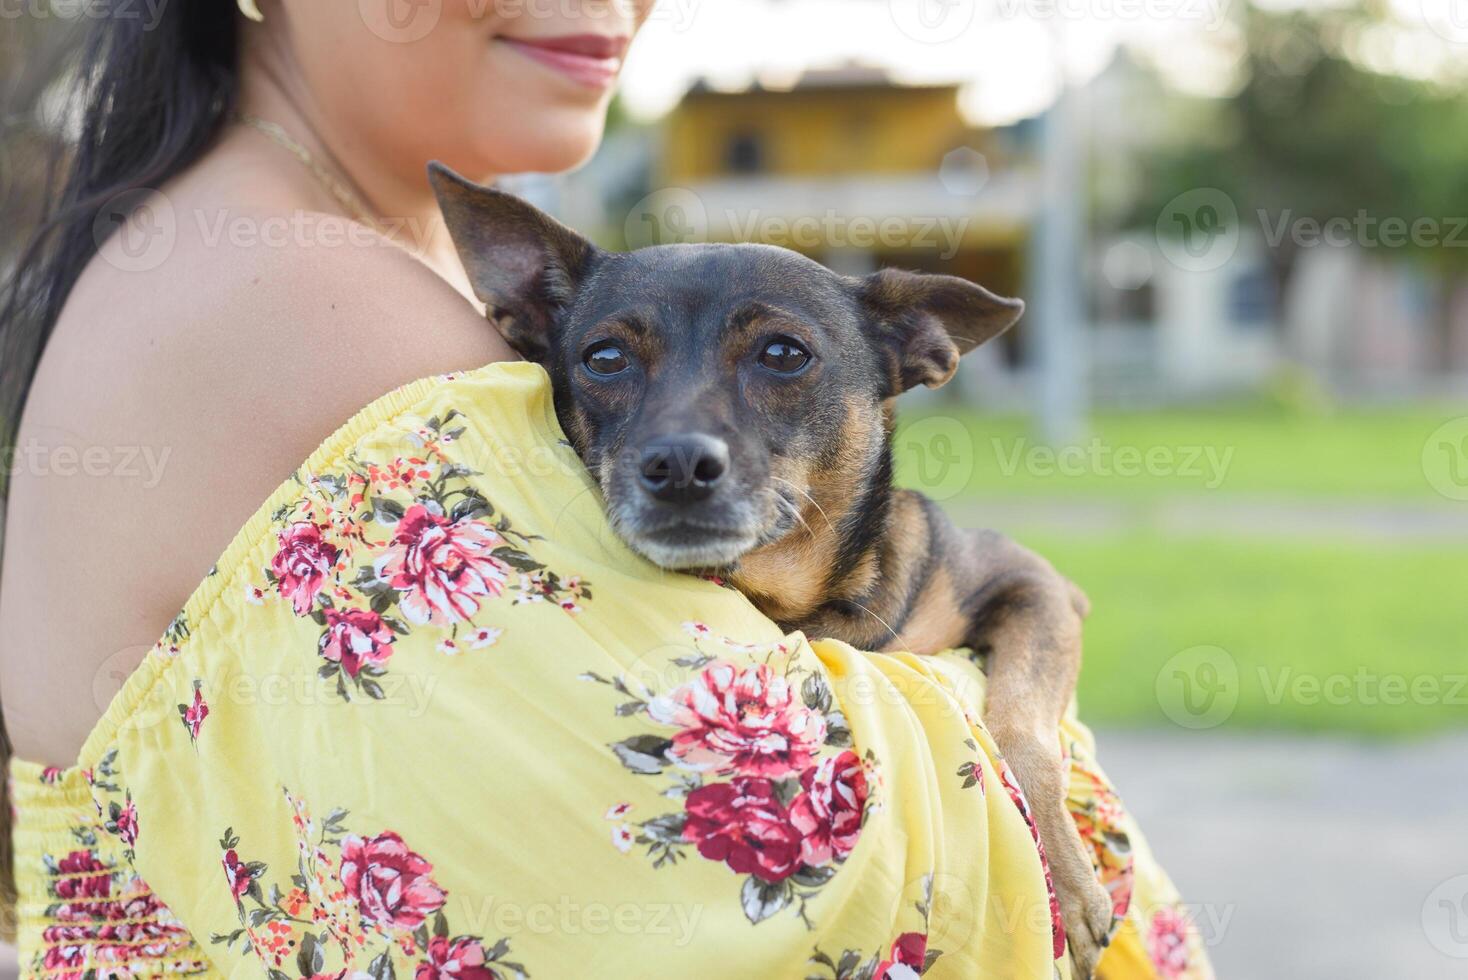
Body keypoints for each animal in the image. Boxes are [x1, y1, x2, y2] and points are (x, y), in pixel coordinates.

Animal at [431, 164, 1109, 974]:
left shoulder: (1033, 584)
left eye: (783, 354)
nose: (677, 464)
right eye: (604, 358)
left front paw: (1069, 881)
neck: (797, 604)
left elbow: (1022, 726)